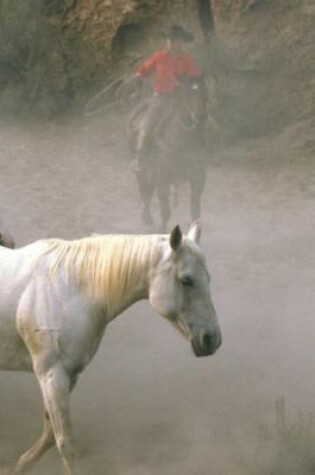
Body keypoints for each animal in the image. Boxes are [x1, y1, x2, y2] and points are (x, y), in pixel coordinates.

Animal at [0, 223, 222, 475]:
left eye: (207, 278)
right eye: (186, 280)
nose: (211, 339)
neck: (65, 290)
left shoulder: (67, 376)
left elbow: (49, 436)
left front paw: (16, 467)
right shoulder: (52, 376)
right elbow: (65, 443)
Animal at [128, 77, 210, 231]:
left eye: (205, 92)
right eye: (187, 93)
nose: (200, 116)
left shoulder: (198, 178)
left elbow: (195, 210)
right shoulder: (163, 177)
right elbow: (165, 209)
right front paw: (162, 229)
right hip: (142, 170)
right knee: (144, 191)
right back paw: (147, 217)